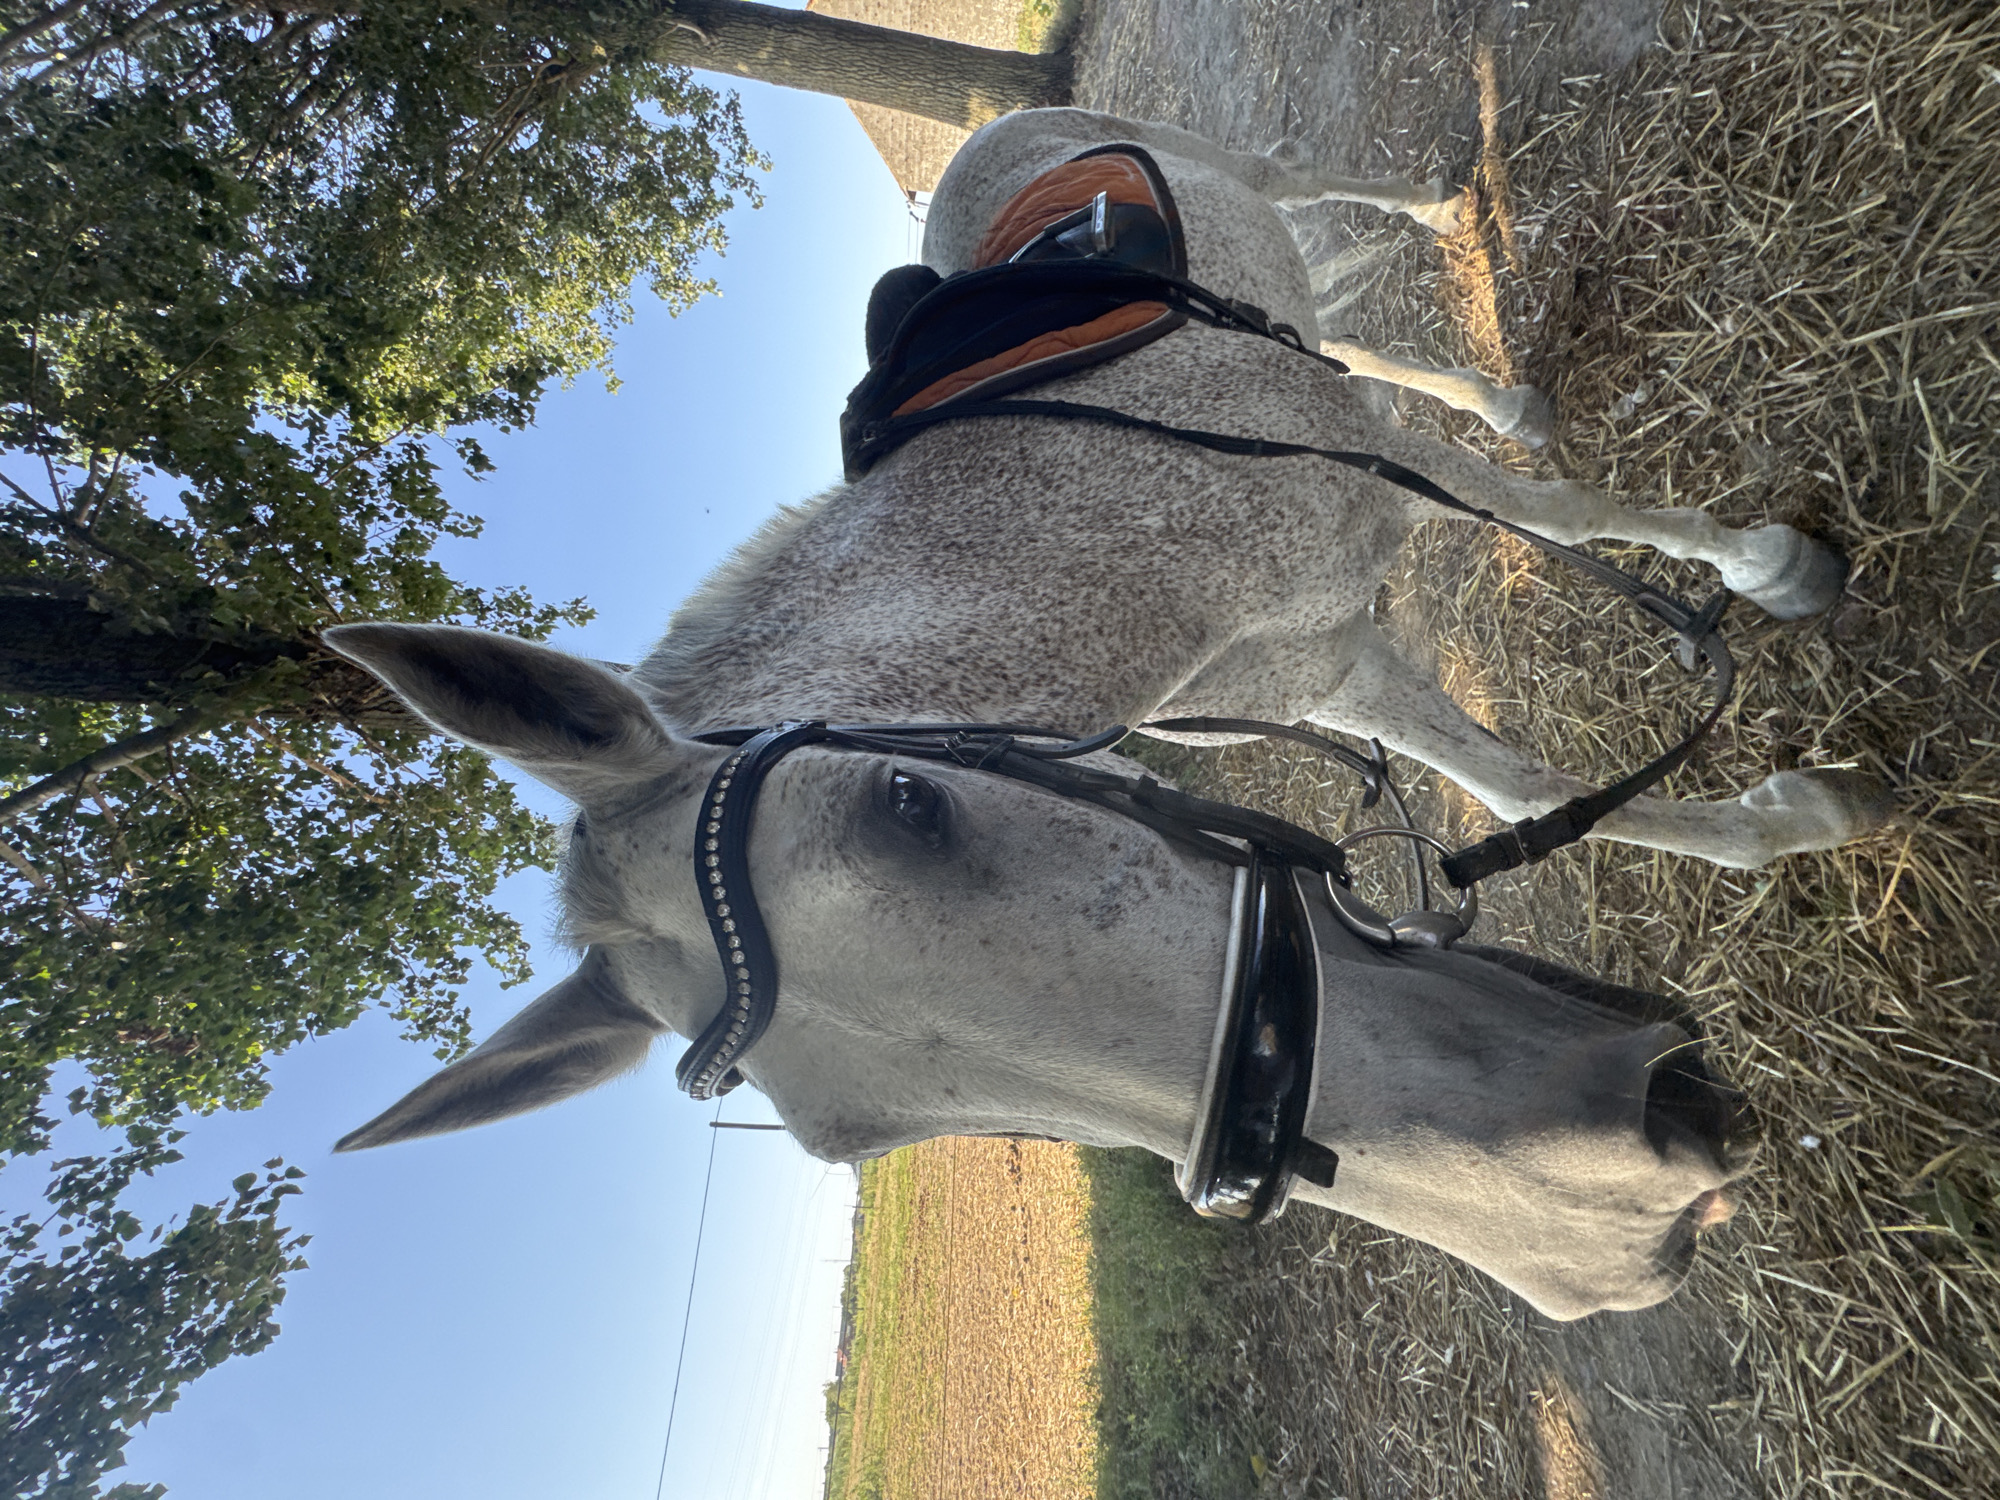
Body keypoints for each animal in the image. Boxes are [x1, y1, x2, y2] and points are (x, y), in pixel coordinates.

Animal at [325, 108, 1888, 1321]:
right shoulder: (1328, 667)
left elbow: (1563, 521)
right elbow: (1515, 795)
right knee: (1355, 343)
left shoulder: (1374, 491)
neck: (1099, 546)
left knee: (1312, 187)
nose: (1600, 1221)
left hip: (1231, 179)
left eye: (912, 806)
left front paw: (1768, 570)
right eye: (856, 1139)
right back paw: (1496, 389)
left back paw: (1454, 234)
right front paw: (1786, 823)